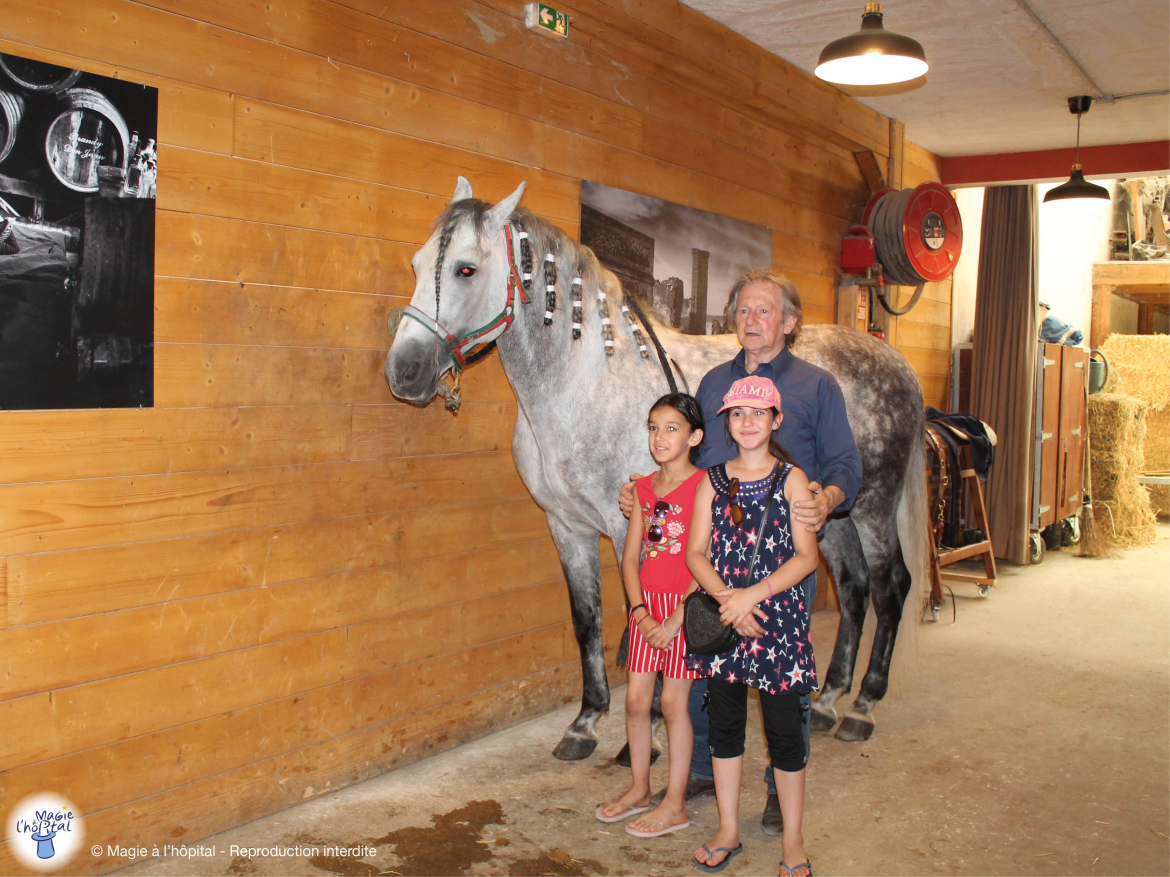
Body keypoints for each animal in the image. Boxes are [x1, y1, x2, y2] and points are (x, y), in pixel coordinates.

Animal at [388, 176, 926, 757]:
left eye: (466, 269)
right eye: (417, 264)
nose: (404, 371)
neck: (586, 387)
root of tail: (896, 364)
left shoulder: (631, 523)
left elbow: (642, 614)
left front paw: (645, 735)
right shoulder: (566, 526)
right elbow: (587, 618)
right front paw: (585, 721)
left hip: (873, 508)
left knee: (890, 587)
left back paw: (863, 707)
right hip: (829, 514)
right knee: (852, 588)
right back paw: (827, 700)